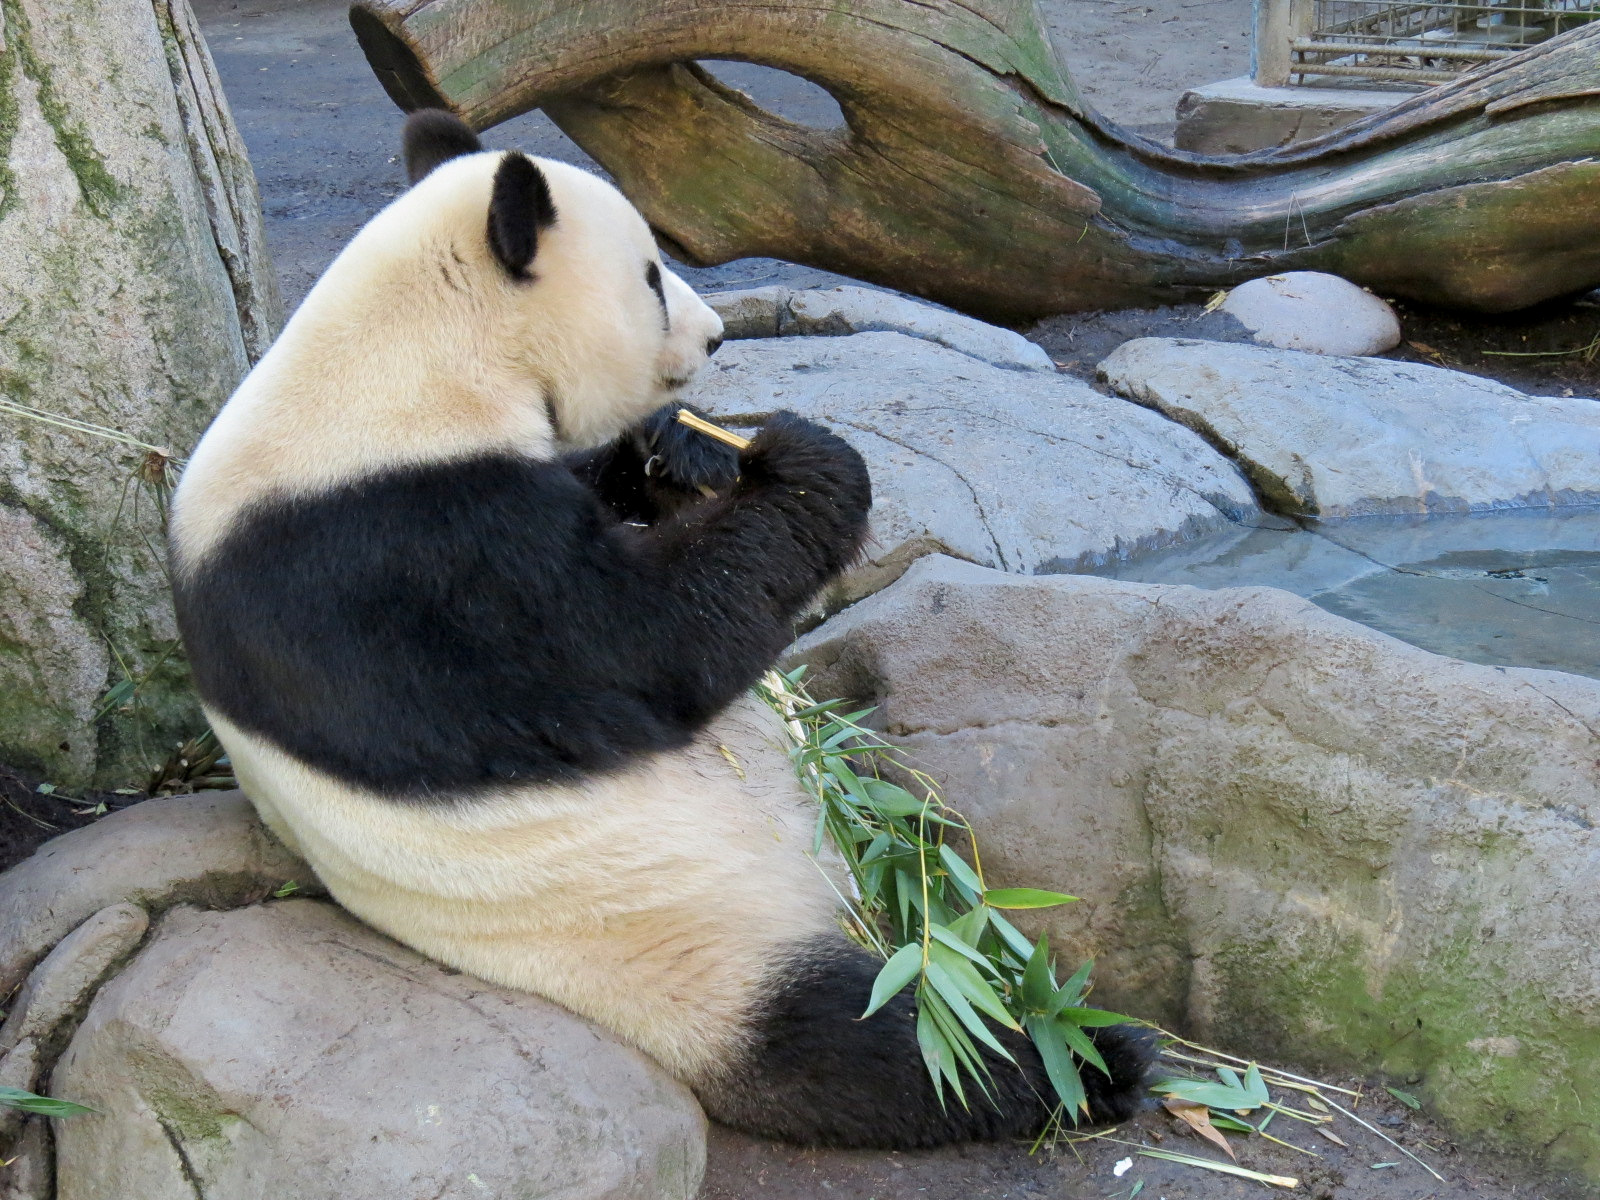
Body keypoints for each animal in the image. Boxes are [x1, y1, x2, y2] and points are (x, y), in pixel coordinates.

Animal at [168, 110, 1151, 1149]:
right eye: (648, 276)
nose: (717, 336)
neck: (401, 365)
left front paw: (679, 450)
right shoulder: (393, 555)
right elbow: (637, 648)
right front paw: (807, 467)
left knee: (925, 863)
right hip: (685, 950)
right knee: (887, 1038)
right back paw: (1076, 1060)